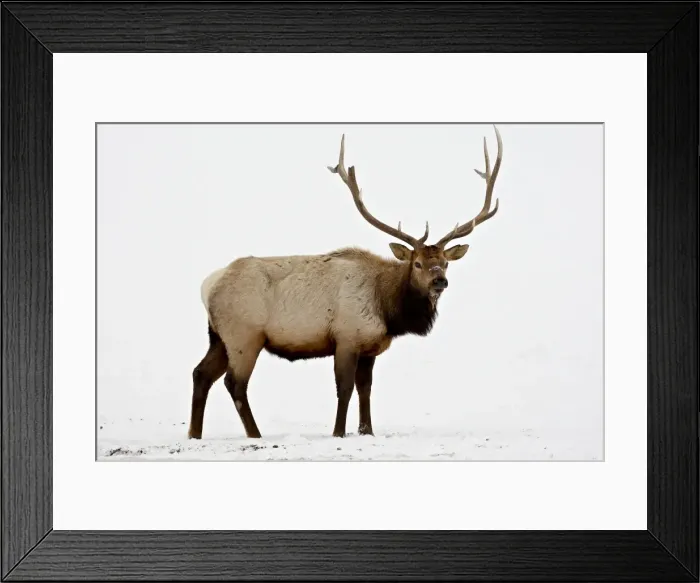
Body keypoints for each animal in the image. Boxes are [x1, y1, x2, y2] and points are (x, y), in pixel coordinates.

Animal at [188, 126, 503, 440]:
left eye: (446, 262)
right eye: (417, 264)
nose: (440, 281)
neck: (388, 309)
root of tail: (208, 285)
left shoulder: (370, 346)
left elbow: (365, 390)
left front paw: (367, 430)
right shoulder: (347, 337)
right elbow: (345, 389)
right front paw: (339, 432)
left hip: (219, 336)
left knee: (200, 373)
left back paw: (195, 434)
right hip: (244, 335)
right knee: (234, 383)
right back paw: (255, 434)